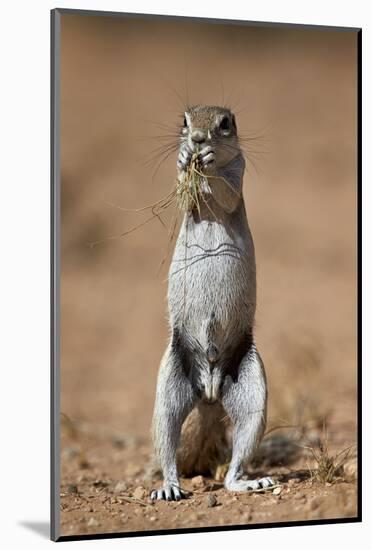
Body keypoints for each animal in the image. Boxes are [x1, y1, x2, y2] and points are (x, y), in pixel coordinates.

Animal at [150, 105, 274, 502]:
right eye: (184, 121)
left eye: (225, 124)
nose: (197, 139)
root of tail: (209, 392)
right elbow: (183, 192)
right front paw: (183, 160)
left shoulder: (239, 172)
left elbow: (227, 192)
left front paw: (205, 162)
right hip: (169, 387)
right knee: (167, 441)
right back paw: (169, 487)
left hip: (253, 390)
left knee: (239, 452)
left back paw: (248, 482)